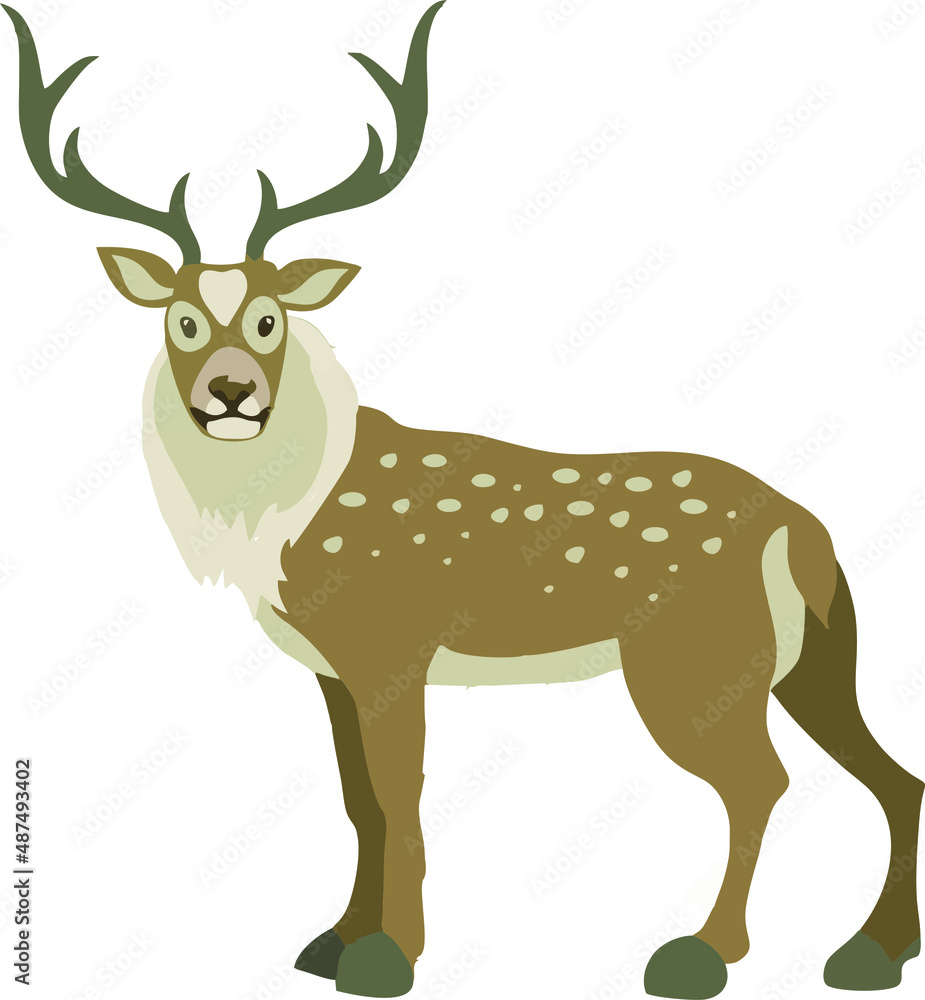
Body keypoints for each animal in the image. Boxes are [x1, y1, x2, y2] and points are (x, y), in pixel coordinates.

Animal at [5, 3, 923, 997]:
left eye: (268, 320)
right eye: (180, 320)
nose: (231, 393)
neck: (284, 524)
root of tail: (799, 528)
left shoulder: (392, 643)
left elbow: (398, 791)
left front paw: (387, 959)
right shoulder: (335, 669)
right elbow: (356, 798)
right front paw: (330, 943)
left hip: (693, 661)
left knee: (760, 781)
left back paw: (699, 954)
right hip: (807, 658)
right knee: (890, 774)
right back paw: (869, 952)